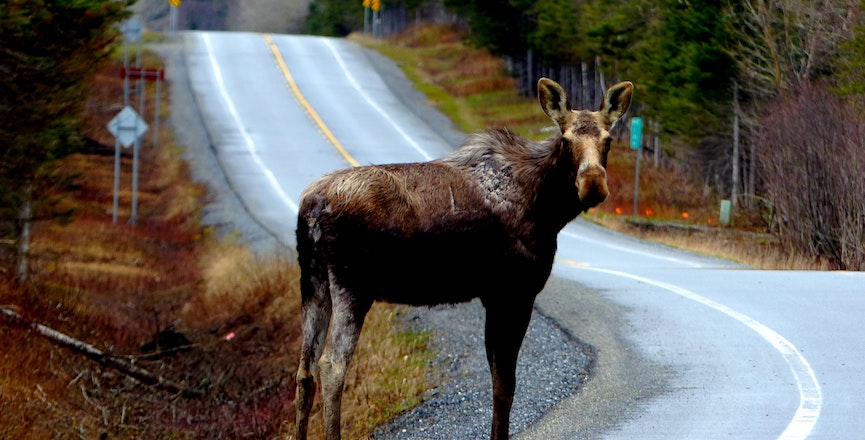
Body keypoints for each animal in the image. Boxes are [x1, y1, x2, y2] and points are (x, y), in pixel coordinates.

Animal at [294, 77, 632, 438]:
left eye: (608, 140)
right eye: (566, 140)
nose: (593, 184)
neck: (548, 209)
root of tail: (311, 208)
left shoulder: (493, 296)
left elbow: (498, 380)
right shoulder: (515, 292)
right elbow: (505, 387)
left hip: (313, 282)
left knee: (305, 369)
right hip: (352, 287)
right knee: (332, 366)